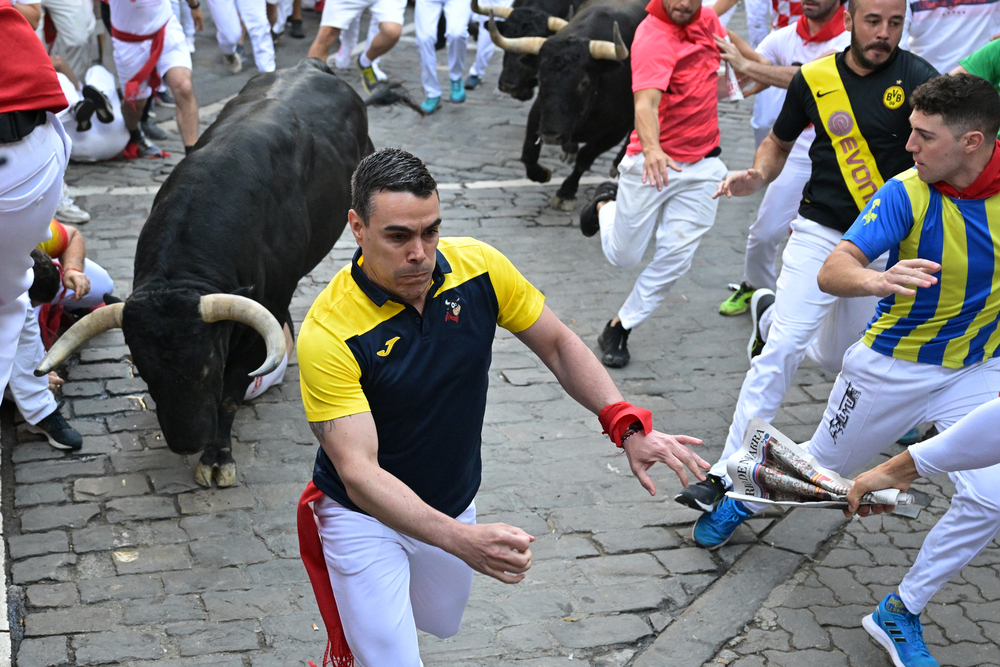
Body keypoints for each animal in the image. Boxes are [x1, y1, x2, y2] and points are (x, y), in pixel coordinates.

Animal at [36, 60, 406, 488]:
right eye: (143, 369)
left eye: (209, 364)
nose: (186, 441)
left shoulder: (259, 325)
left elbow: (230, 392)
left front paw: (217, 458)